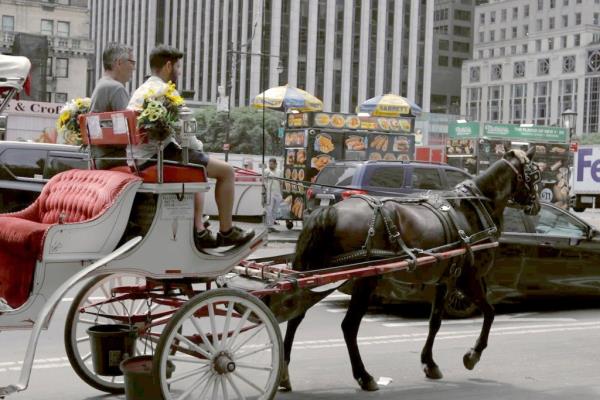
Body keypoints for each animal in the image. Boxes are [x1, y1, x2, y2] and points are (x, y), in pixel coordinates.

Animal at [278, 148, 540, 392]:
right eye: (535, 174)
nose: (536, 205)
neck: (473, 207)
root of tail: (330, 211)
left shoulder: (445, 280)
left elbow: (435, 322)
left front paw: (429, 363)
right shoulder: (469, 278)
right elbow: (490, 313)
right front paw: (472, 355)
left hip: (314, 272)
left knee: (296, 316)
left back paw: (284, 374)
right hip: (365, 280)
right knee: (349, 326)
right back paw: (364, 376)